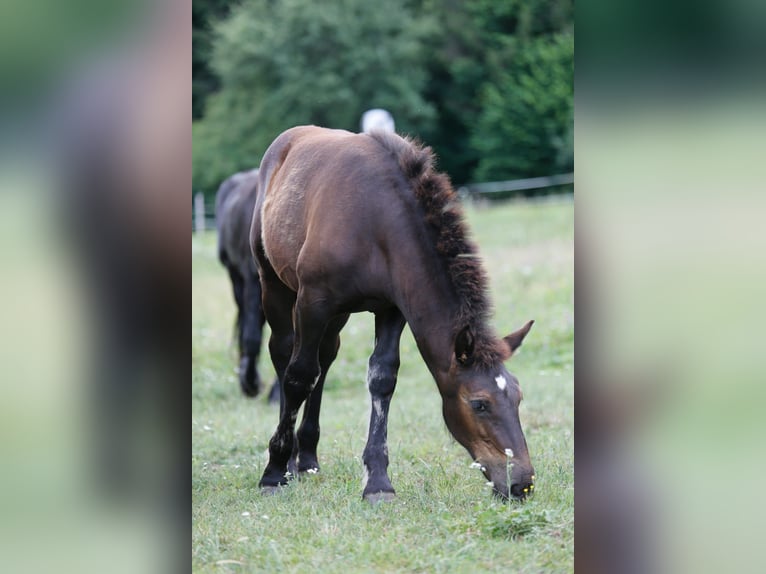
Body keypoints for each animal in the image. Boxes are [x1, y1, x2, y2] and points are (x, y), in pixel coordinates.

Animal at [250, 126, 535, 502]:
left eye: (517, 396)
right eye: (479, 403)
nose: (522, 483)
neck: (375, 222)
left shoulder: (393, 307)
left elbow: (382, 378)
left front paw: (378, 482)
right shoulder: (313, 301)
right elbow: (298, 376)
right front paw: (273, 472)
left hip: (335, 317)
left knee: (325, 359)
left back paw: (308, 457)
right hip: (276, 286)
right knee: (286, 355)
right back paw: (290, 461)